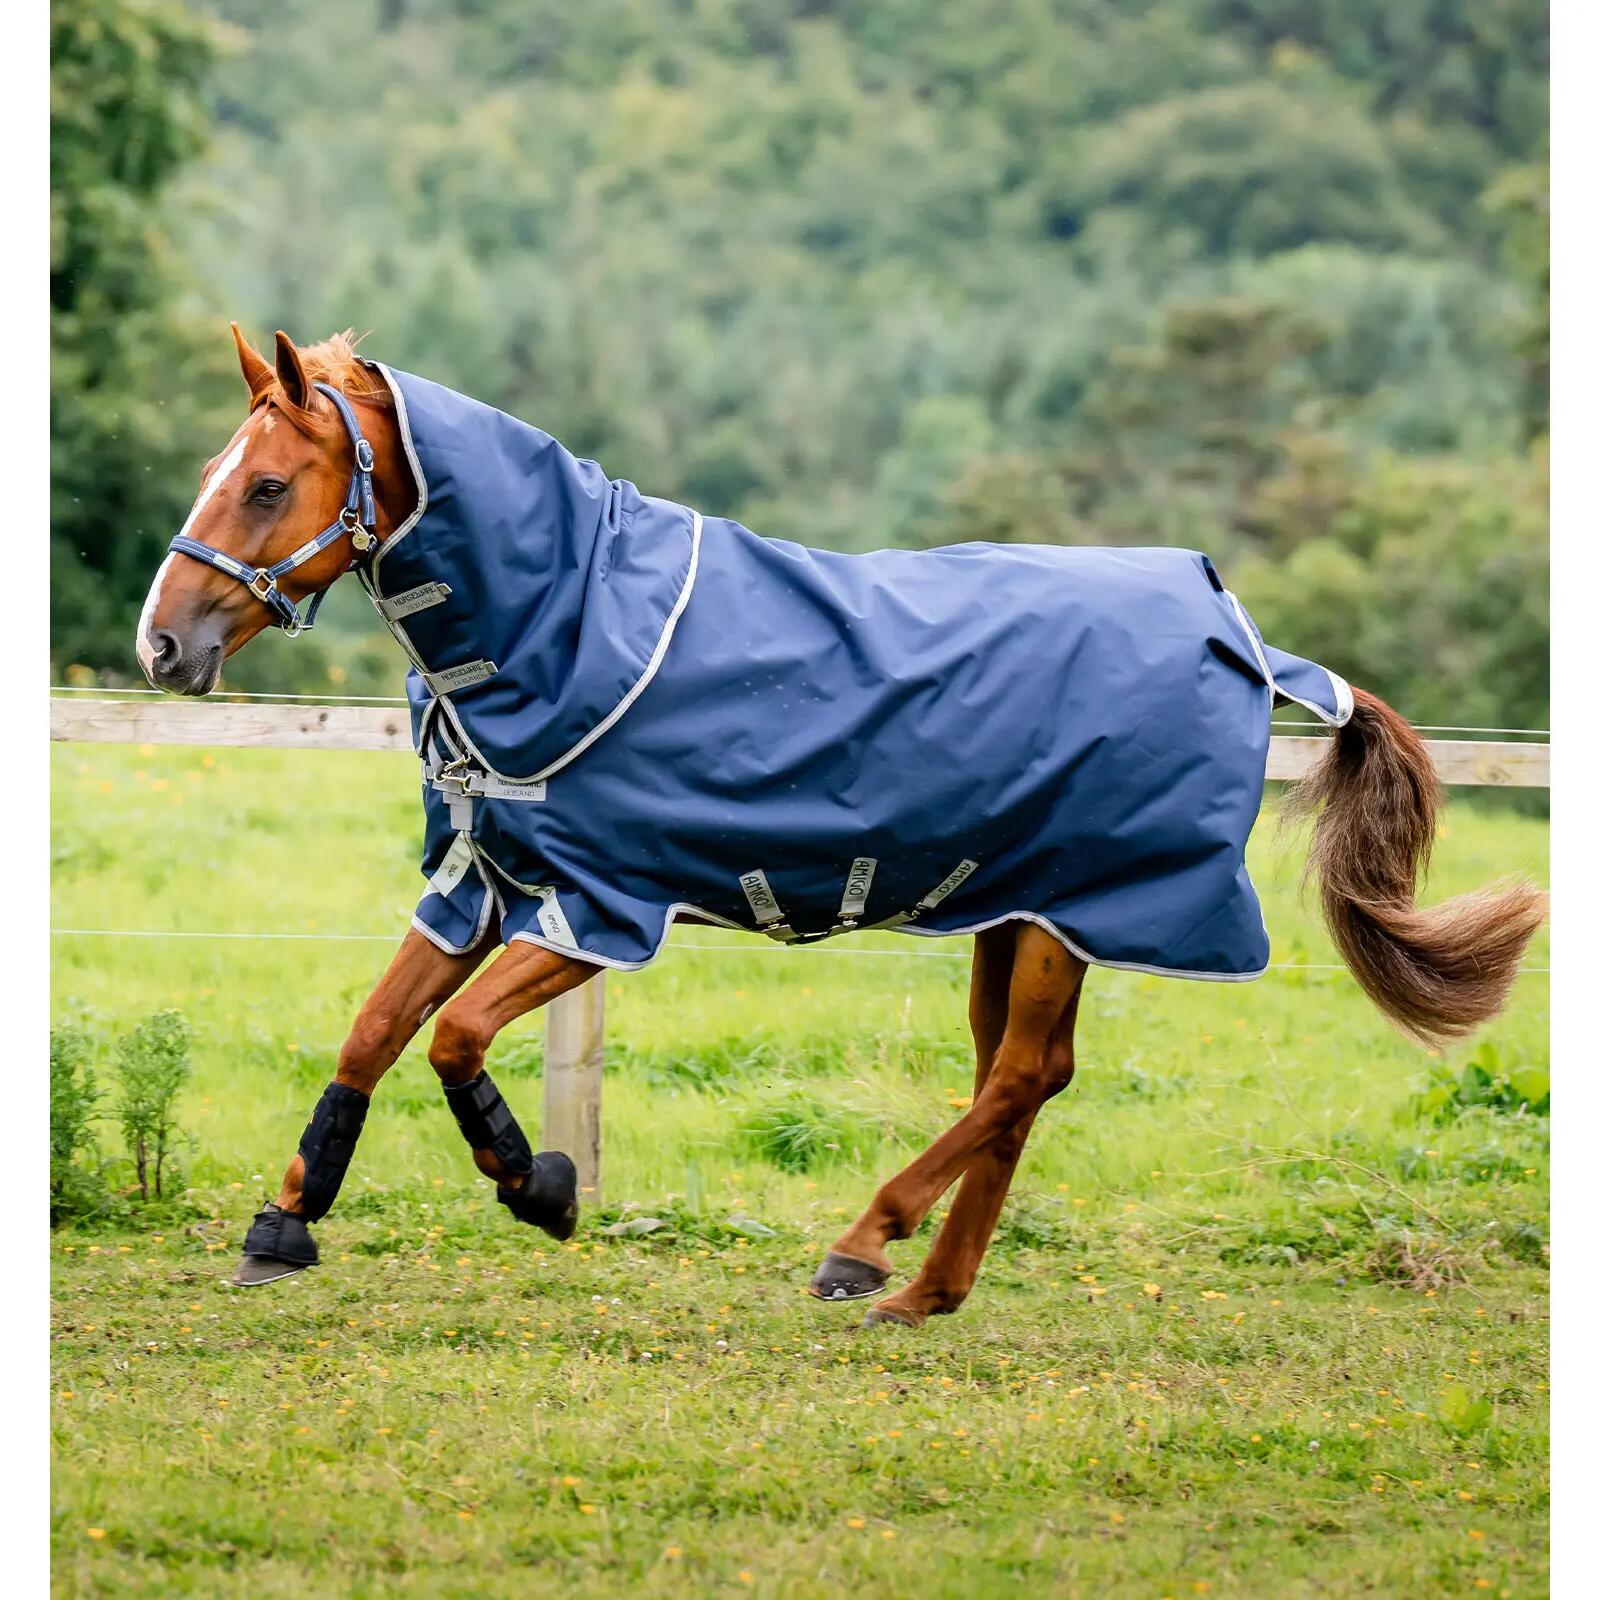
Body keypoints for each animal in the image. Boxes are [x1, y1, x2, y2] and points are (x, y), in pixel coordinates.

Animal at [134, 325, 1545, 1324]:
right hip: (1018, 905)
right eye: (212, 474)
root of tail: (1239, 629)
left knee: (1019, 1076)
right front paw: (285, 1224)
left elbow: (454, 1039)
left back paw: (866, 1246)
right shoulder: (486, 881)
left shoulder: (601, 907)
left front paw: (539, 1185)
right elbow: (375, 1030)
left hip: (1073, 908)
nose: (164, 644)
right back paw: (926, 1290)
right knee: (1024, 1076)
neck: (567, 623)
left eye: (267, 483)